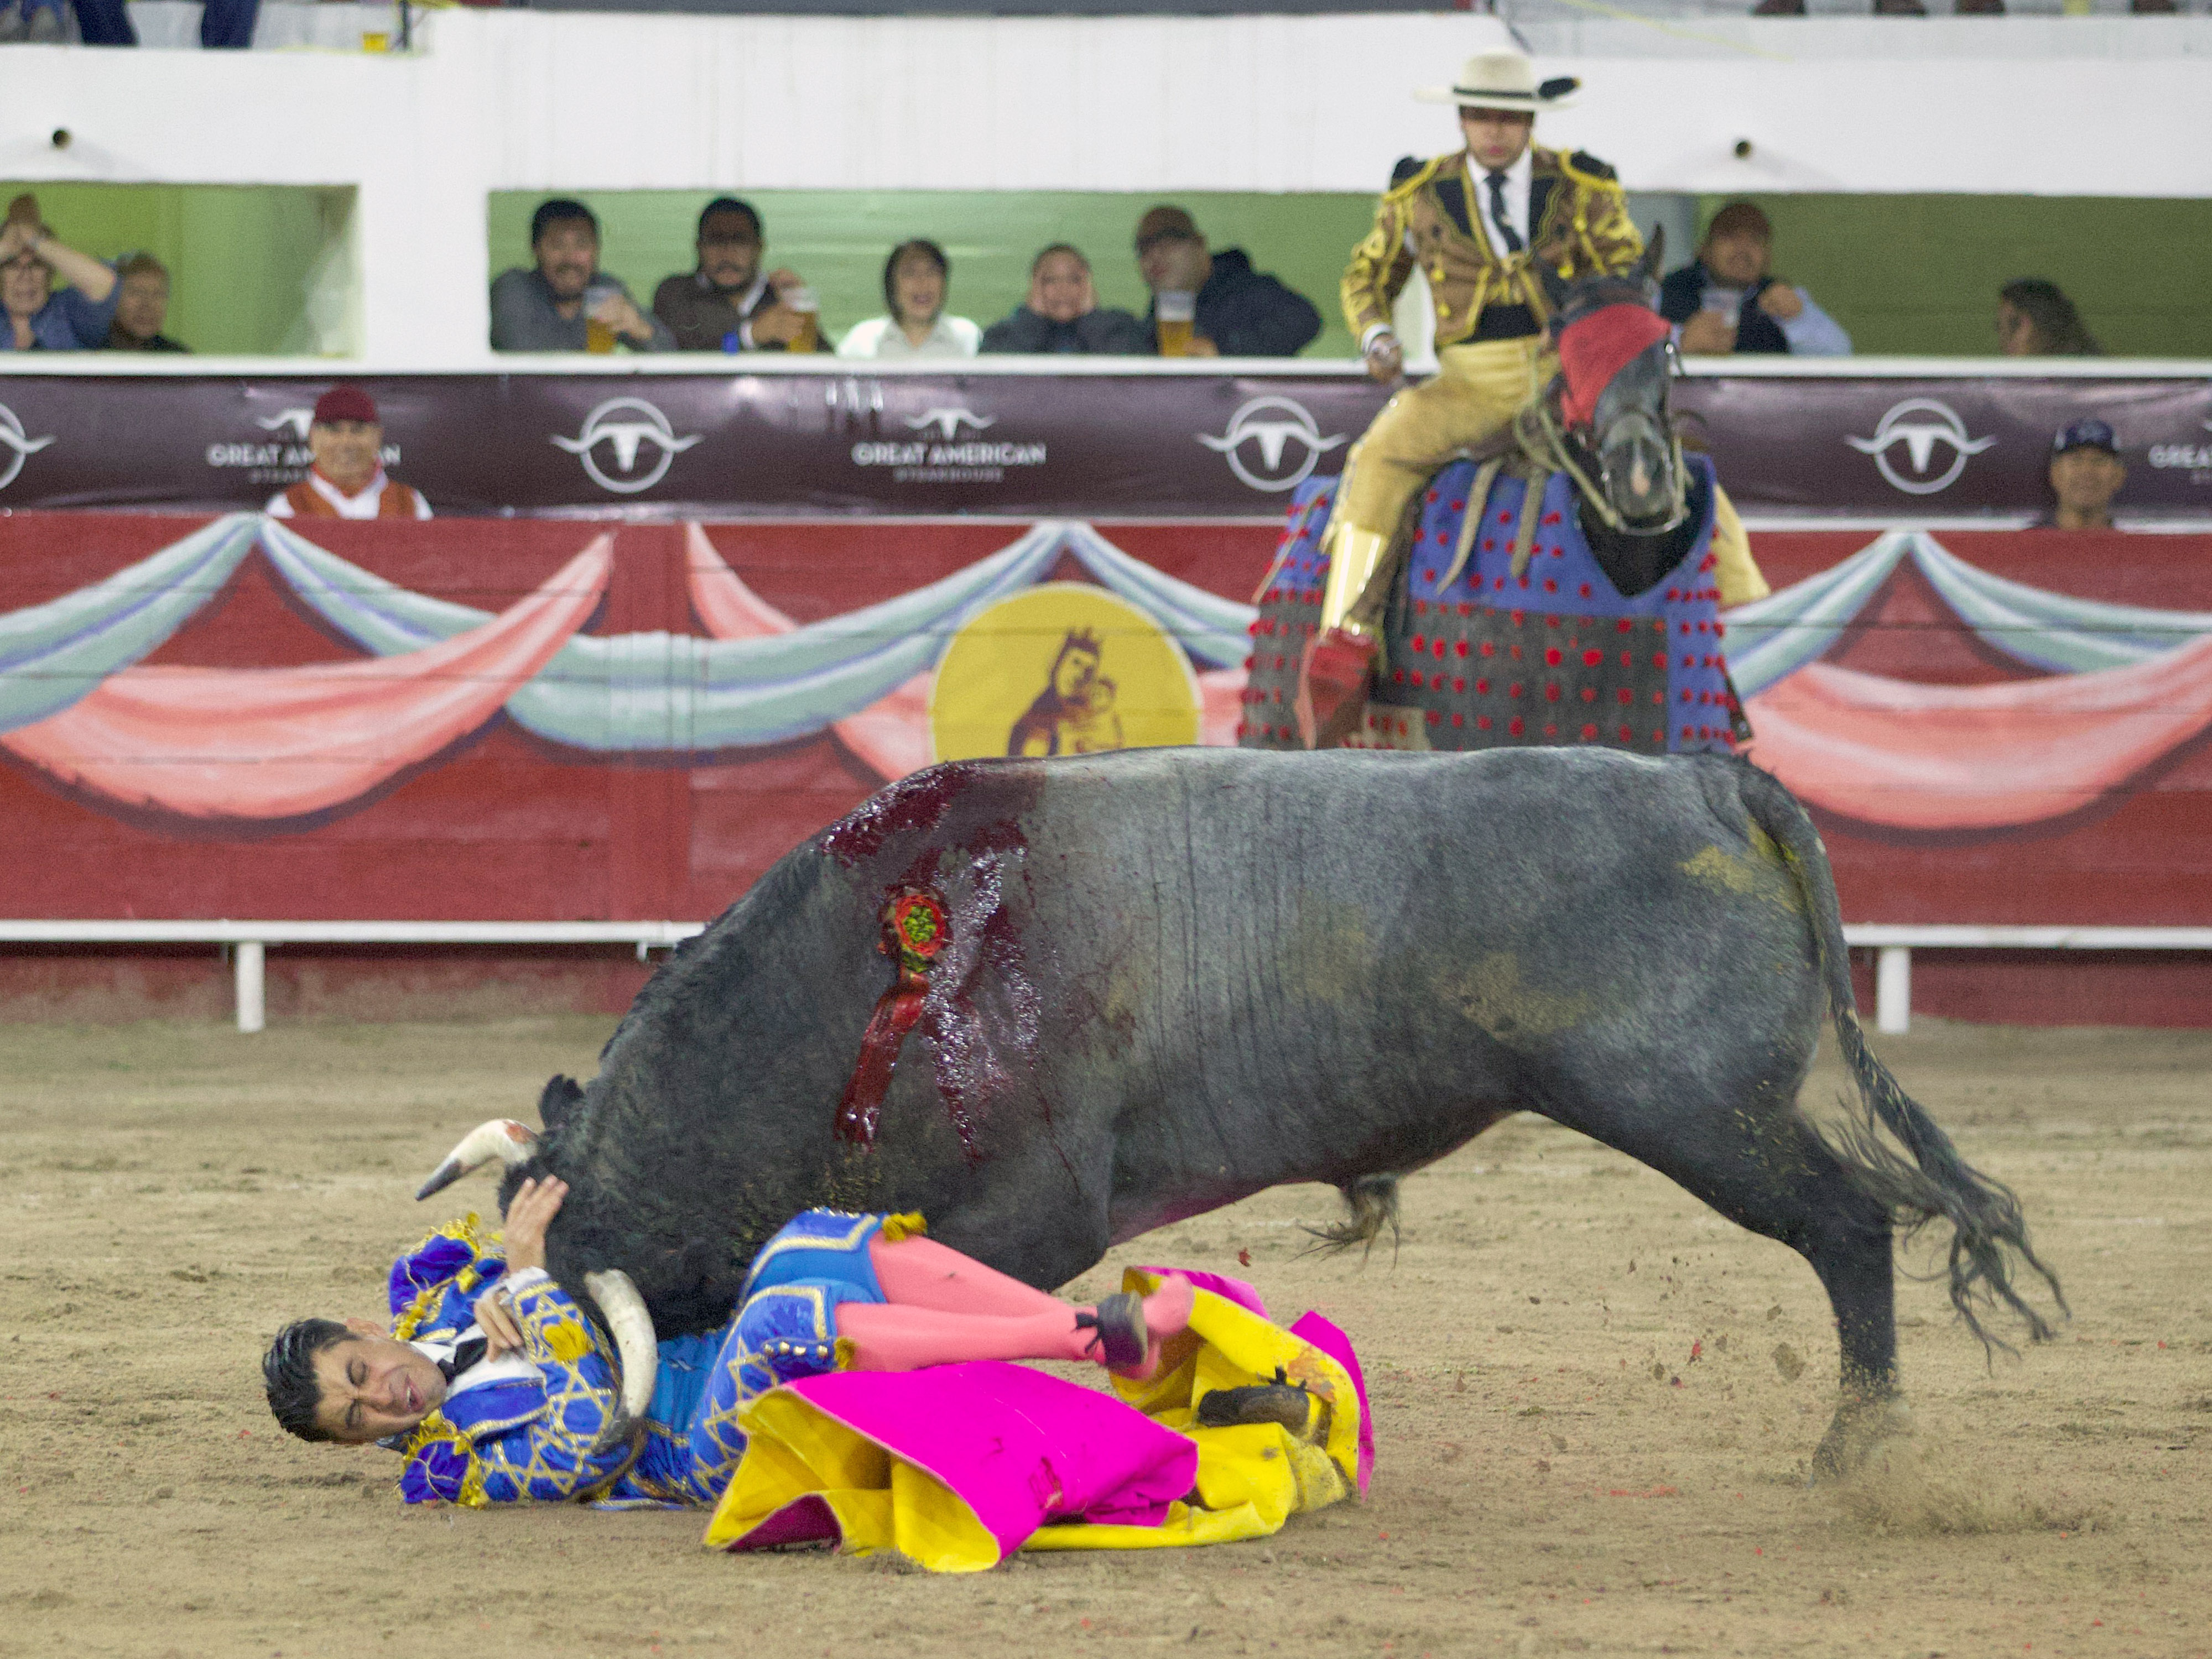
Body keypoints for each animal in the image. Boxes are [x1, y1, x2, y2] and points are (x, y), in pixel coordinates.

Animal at [426, 748, 2053, 1478]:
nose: (595, 1438)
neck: (857, 991)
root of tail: (1705, 777)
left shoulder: (1042, 1202)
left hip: (1696, 1109)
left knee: (1850, 1224)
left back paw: (1857, 1449)